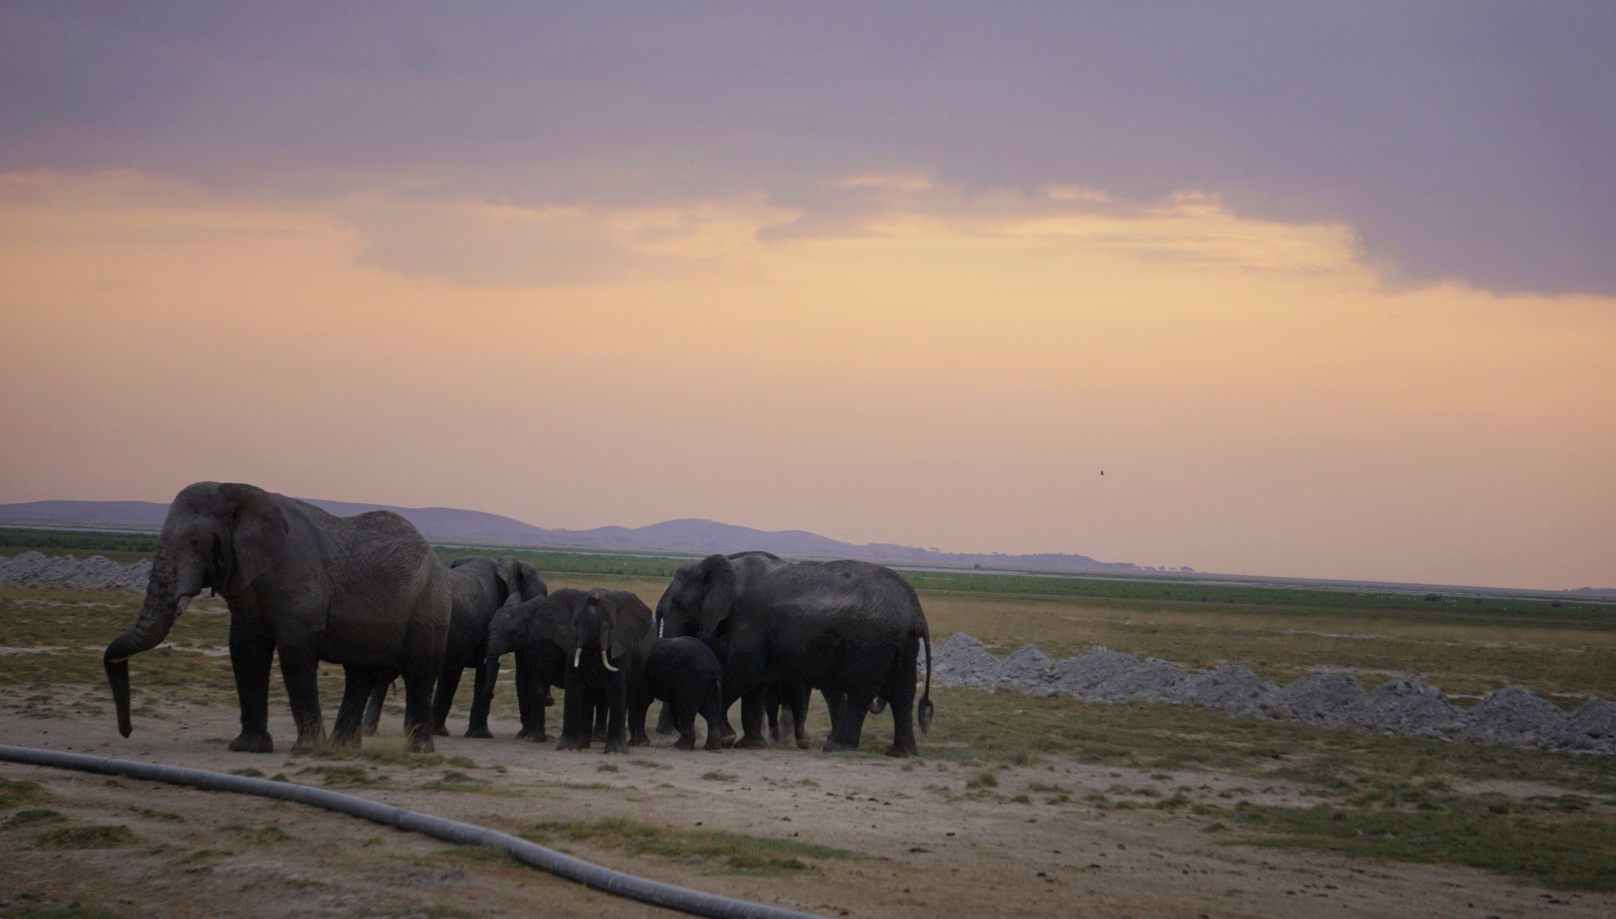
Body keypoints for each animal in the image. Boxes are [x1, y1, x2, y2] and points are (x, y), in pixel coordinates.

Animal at [101, 481, 455, 752]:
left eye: (195, 541)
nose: (126, 732)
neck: (237, 493)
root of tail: (434, 555)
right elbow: (246, 651)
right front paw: (247, 748)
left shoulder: (299, 582)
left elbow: (295, 654)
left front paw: (307, 749)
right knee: (360, 673)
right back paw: (342, 748)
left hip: (430, 601)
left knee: (420, 671)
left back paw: (417, 750)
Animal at [361, 552, 549, 739]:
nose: (522, 734)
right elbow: (482, 669)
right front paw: (481, 735)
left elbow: (450, 674)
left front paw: (439, 732)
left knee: (383, 678)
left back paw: (371, 731)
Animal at [652, 552, 937, 752]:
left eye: (678, 602)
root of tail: (916, 612)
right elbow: (754, 684)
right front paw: (749, 744)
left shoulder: (748, 620)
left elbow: (743, 675)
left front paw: (725, 738)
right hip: (901, 643)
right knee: (902, 693)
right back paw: (900, 752)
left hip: (872, 645)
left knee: (861, 691)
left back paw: (836, 748)